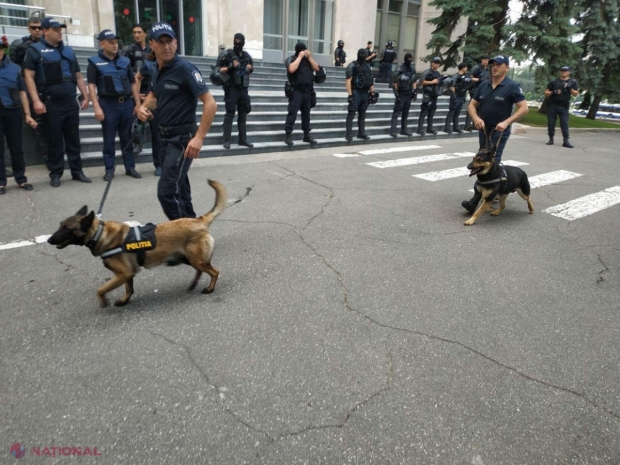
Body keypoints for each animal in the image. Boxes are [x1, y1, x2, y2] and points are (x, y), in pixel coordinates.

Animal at [23, 16, 91, 187]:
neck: (53, 46)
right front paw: (55, 176)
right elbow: (29, 76)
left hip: (71, 119)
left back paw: (79, 174)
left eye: (60, 28)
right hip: (53, 120)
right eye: (55, 29)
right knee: (54, 145)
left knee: (73, 142)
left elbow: (76, 72)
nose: (60, 32)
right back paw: (55, 176)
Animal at [47, 179, 228, 306]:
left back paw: (210, 288)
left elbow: (100, 289)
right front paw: (124, 300)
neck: (99, 233)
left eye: (67, 230)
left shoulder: (122, 274)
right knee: (200, 271)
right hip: (187, 258)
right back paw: (193, 284)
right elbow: (129, 288)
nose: (49, 240)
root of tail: (199, 220)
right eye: (60, 225)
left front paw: (104, 301)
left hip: (196, 259)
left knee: (215, 272)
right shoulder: (127, 274)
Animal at [87, 29, 142, 181]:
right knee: (108, 147)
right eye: (111, 41)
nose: (116, 45)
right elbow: (91, 84)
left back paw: (132, 170)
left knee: (126, 144)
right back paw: (109, 173)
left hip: (125, 120)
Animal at [138, 24, 218, 227]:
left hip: (179, 151)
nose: (169, 47)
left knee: (172, 187)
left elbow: (209, 102)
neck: (166, 66)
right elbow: (152, 96)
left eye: (170, 41)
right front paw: (141, 110)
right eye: (162, 42)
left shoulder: (189, 72)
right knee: (184, 190)